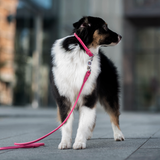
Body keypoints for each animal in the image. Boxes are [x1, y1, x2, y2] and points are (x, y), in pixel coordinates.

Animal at [50, 16, 124, 150]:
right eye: (104, 27)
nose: (120, 36)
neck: (81, 50)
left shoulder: (88, 96)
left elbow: (83, 123)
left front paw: (79, 142)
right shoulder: (64, 99)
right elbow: (66, 124)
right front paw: (65, 142)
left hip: (109, 94)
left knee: (114, 114)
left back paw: (118, 134)